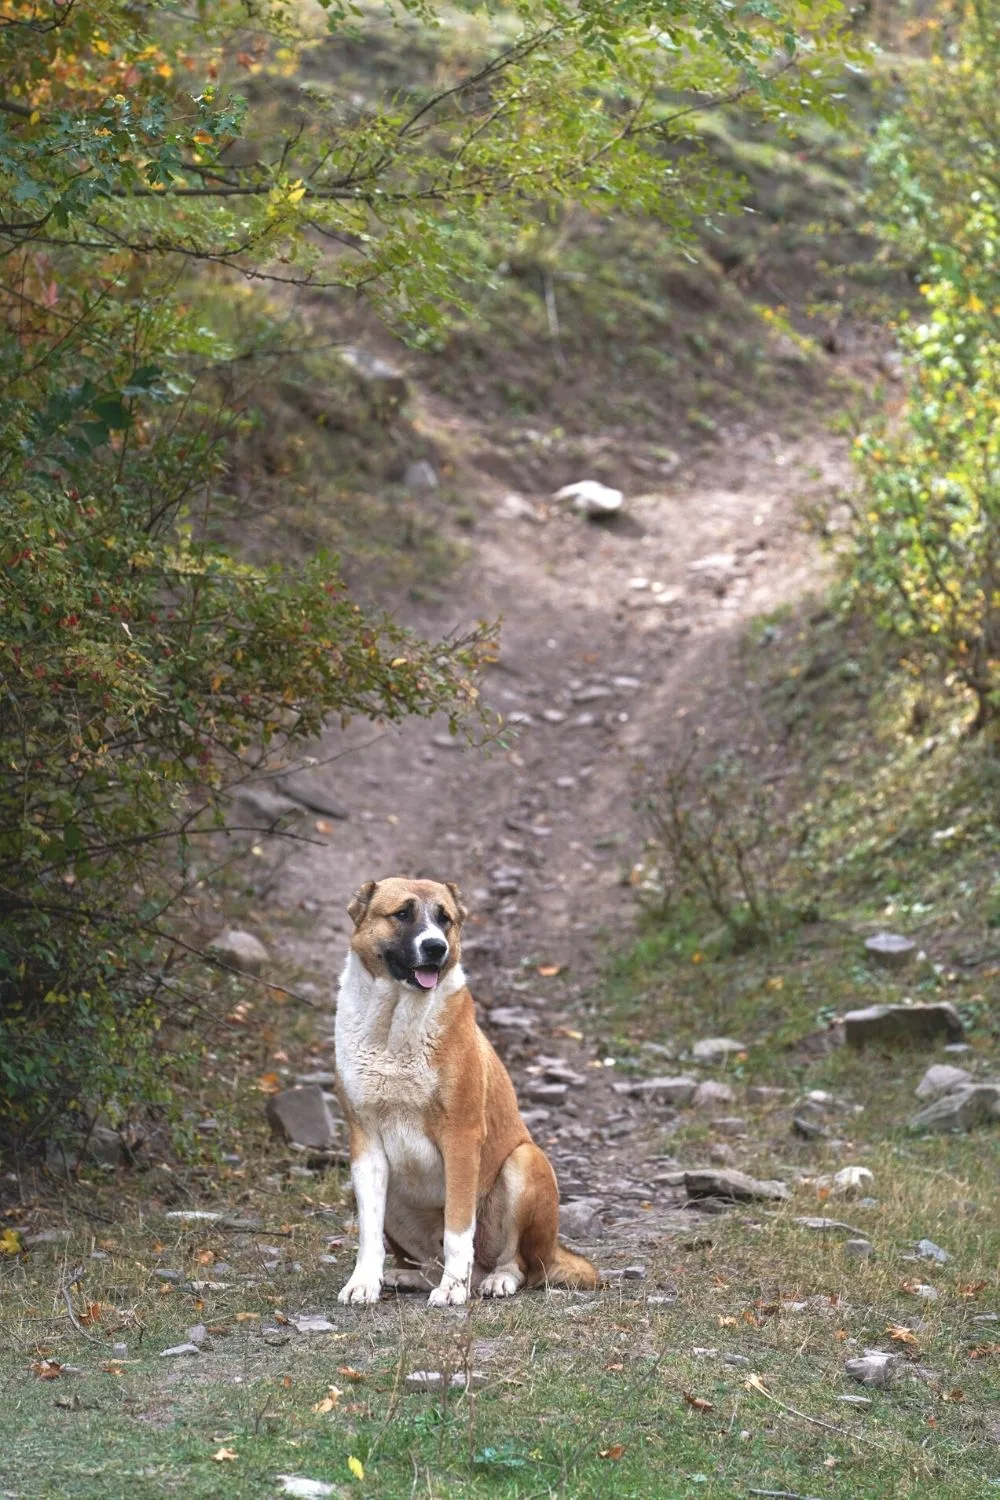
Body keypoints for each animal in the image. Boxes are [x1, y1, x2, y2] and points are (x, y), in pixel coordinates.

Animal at [332, 876, 599, 1308]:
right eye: (402, 913)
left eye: (446, 919)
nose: (435, 947)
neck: (395, 1028)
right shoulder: (365, 1144)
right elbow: (368, 1233)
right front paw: (363, 1283)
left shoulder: (460, 1139)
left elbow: (458, 1229)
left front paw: (452, 1289)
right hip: (397, 1196)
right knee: (428, 1262)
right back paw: (407, 1277)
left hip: (525, 1162)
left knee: (519, 1264)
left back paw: (492, 1281)